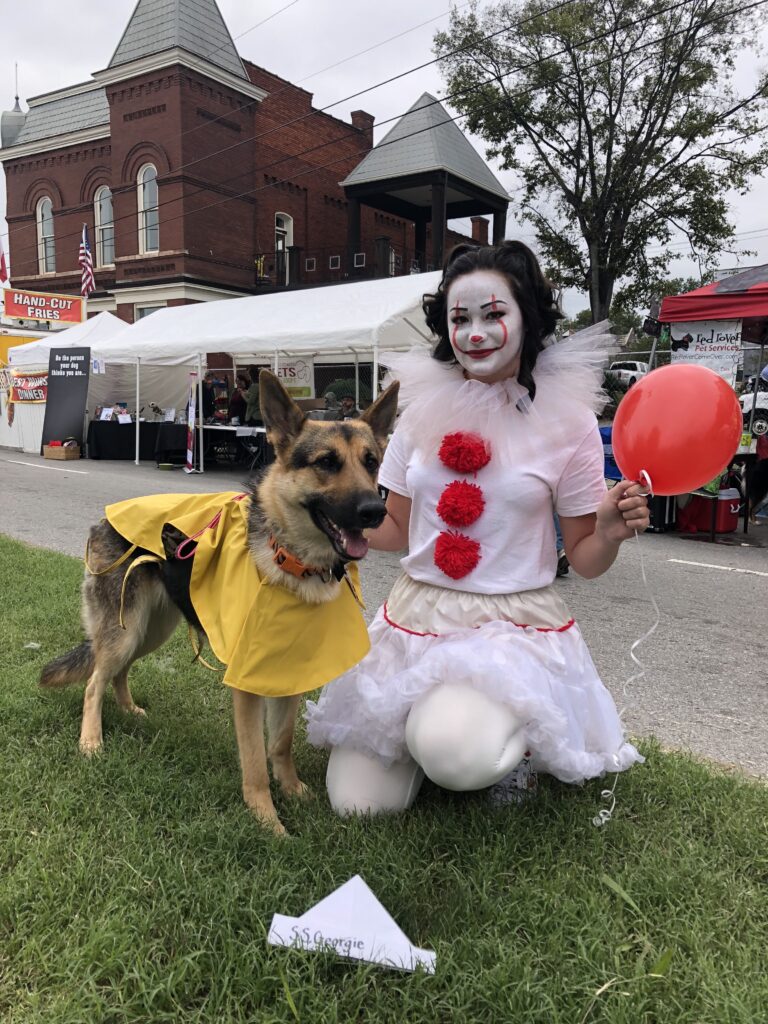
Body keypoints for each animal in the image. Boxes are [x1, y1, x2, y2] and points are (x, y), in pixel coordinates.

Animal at [40, 372, 403, 835]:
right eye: (326, 463)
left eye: (371, 462)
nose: (375, 511)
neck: (289, 560)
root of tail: (105, 516)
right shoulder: (248, 686)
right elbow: (255, 761)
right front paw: (268, 822)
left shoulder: (289, 675)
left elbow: (281, 743)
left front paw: (294, 791)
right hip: (124, 633)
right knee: (93, 683)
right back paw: (91, 740)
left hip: (148, 631)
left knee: (117, 673)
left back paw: (129, 709)